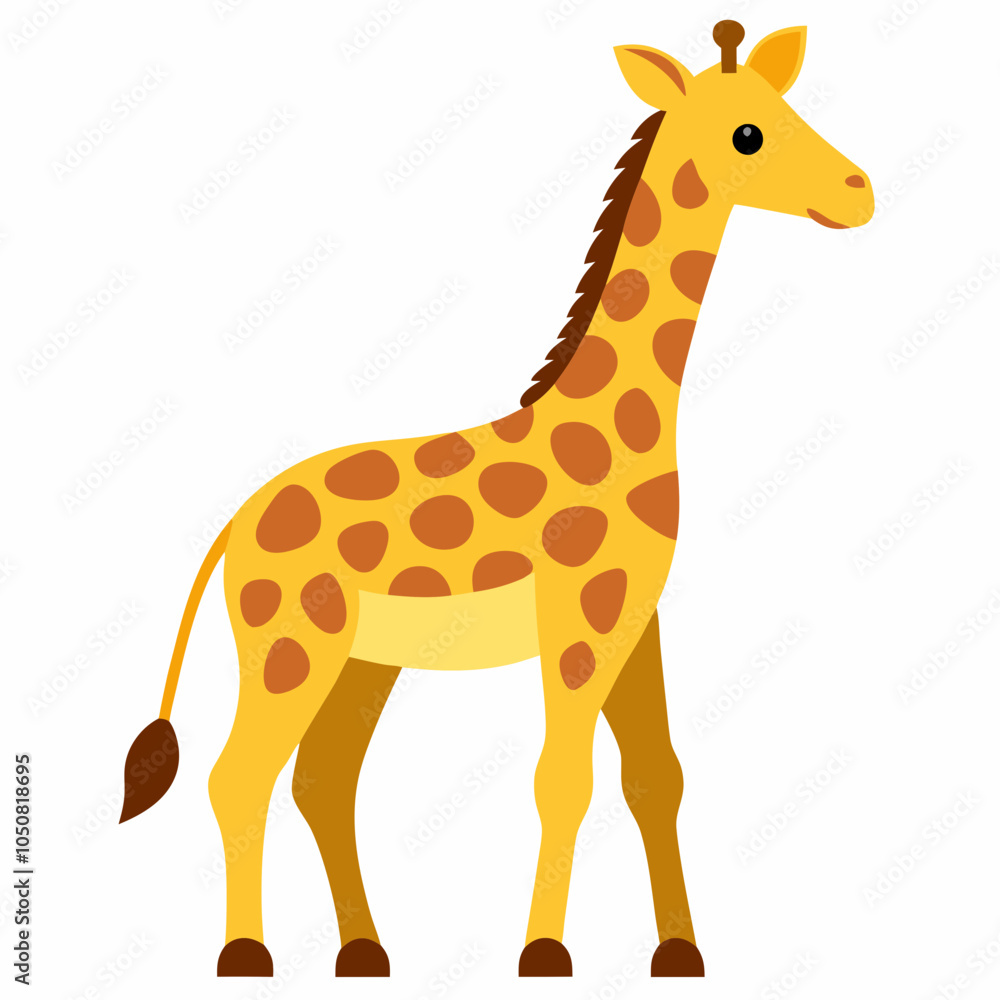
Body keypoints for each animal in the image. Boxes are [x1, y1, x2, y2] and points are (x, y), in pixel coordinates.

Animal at [119, 21, 873, 979]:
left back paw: (365, 953)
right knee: (238, 775)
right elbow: (564, 779)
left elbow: (655, 775)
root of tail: (233, 525)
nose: (861, 193)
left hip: (363, 662)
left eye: (786, 108)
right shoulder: (581, 618)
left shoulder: (634, 618)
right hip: (289, 647)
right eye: (748, 134)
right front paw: (545, 954)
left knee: (323, 780)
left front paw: (680, 954)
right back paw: (245, 956)